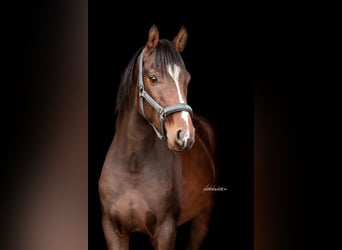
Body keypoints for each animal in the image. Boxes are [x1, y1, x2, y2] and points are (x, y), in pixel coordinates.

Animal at [97, 23, 218, 250]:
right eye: (153, 78)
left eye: (187, 79)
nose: (184, 135)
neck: (133, 168)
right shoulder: (112, 231)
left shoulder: (165, 232)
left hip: (203, 217)